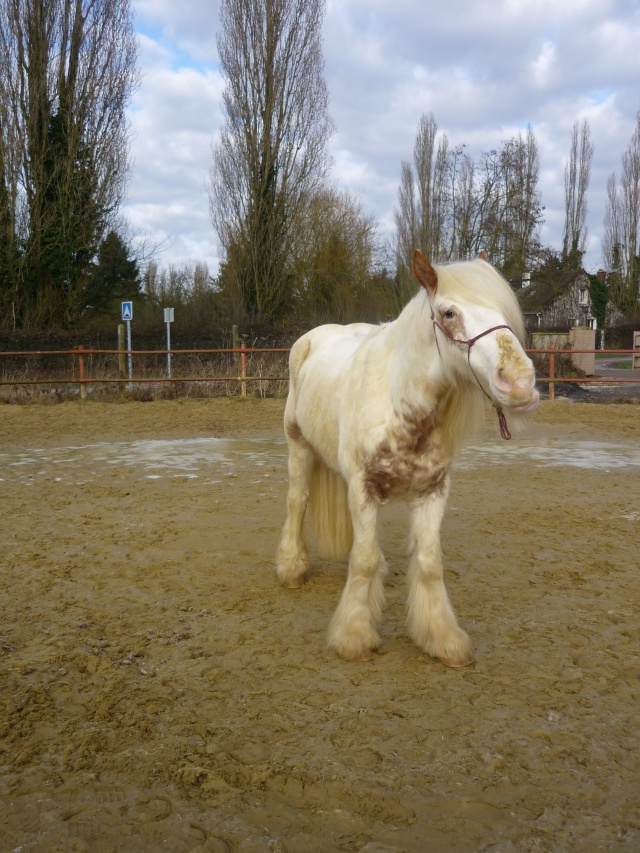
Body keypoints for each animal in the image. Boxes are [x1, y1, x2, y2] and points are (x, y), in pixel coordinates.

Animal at [278, 248, 536, 664]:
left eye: (504, 310)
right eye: (449, 313)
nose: (520, 382)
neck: (400, 403)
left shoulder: (432, 492)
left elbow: (429, 563)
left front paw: (443, 639)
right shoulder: (363, 488)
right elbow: (364, 559)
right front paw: (354, 637)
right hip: (298, 446)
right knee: (297, 502)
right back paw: (292, 569)